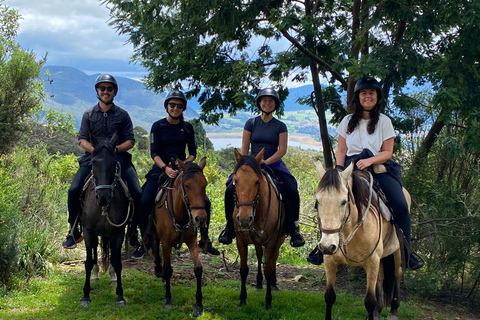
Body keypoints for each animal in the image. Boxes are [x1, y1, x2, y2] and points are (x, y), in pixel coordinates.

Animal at [79, 133, 131, 308]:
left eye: (114, 163)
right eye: (93, 162)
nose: (103, 197)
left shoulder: (118, 232)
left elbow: (118, 262)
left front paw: (120, 295)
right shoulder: (88, 231)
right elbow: (88, 262)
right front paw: (86, 295)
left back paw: (112, 277)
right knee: (95, 251)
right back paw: (95, 276)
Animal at [152, 156, 208, 316]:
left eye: (205, 185)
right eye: (187, 186)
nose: (200, 218)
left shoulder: (192, 241)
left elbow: (198, 268)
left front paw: (198, 304)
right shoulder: (166, 242)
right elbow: (168, 269)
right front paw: (168, 300)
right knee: (155, 246)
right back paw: (159, 270)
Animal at [231, 148, 284, 310]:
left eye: (257, 182)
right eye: (235, 181)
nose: (244, 218)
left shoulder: (272, 242)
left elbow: (269, 269)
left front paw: (268, 302)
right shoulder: (241, 241)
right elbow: (243, 270)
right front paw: (242, 299)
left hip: (278, 241)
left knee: (273, 259)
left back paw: (273, 284)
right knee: (261, 256)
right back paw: (259, 283)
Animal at [316, 161, 404, 320]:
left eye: (344, 201)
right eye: (317, 201)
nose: (327, 246)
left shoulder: (372, 261)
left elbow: (369, 301)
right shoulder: (330, 261)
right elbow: (329, 297)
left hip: (397, 251)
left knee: (397, 273)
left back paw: (393, 310)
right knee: (381, 276)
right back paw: (378, 311)